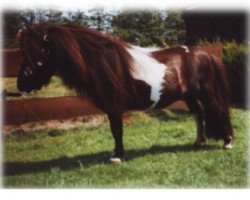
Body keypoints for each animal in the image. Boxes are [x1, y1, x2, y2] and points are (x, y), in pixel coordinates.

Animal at [17, 23, 232, 162]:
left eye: (38, 51)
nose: (21, 85)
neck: (104, 63)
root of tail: (204, 54)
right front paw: (116, 154)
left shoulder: (114, 107)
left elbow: (116, 130)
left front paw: (117, 156)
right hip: (190, 97)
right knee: (198, 114)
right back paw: (199, 142)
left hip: (206, 93)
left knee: (218, 111)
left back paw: (228, 142)